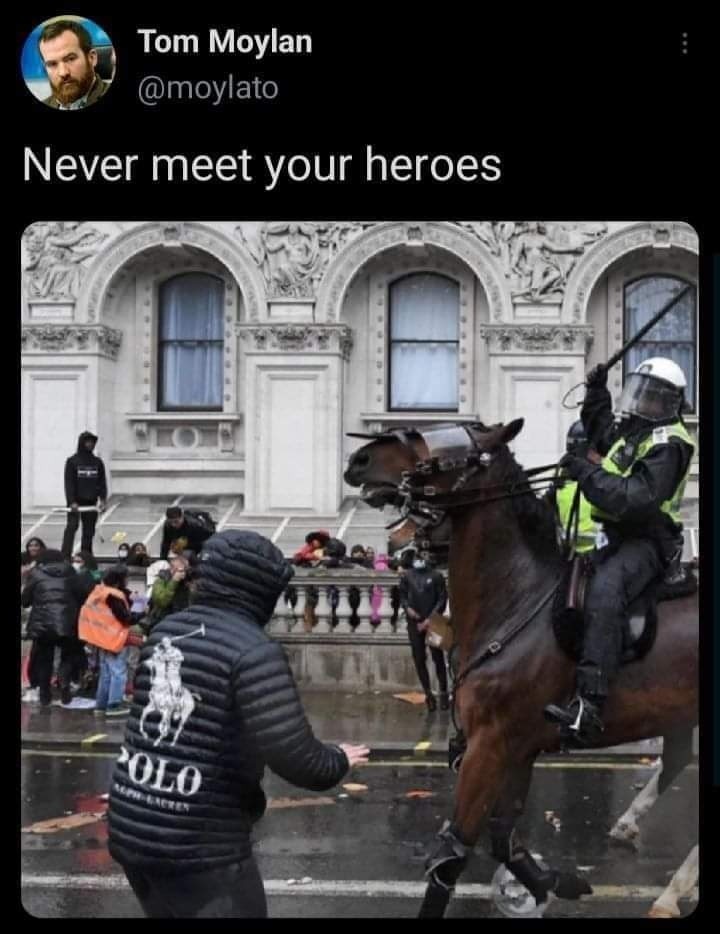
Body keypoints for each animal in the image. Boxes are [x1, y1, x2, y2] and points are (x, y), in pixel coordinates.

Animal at [344, 420, 696, 916]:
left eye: (444, 448)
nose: (360, 460)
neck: (518, 598)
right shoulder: (518, 748)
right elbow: (503, 839)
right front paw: (554, 882)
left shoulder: (489, 747)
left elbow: (452, 855)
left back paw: (671, 890)